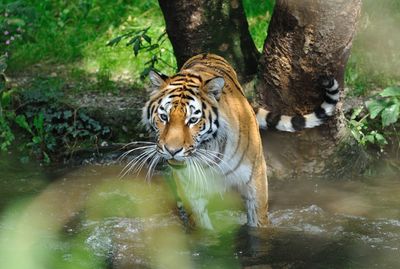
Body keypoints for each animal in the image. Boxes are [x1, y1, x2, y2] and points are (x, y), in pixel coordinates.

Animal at [139, 52, 340, 228]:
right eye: (164, 117)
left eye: (193, 120)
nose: (172, 151)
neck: (209, 152)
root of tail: (206, 53)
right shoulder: (190, 188)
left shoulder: (255, 178)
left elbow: (258, 221)